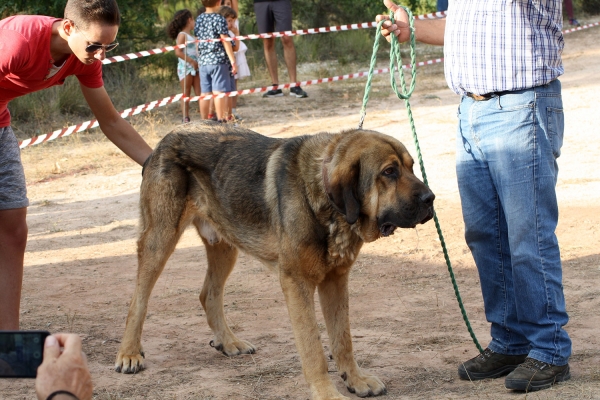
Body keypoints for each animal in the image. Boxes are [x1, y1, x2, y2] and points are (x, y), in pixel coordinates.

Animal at [115, 122, 434, 400]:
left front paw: (355, 380)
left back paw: (228, 341)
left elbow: (343, 340)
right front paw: (327, 393)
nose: (431, 198)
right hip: (160, 241)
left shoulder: (335, 280)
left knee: (209, 294)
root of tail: (167, 138)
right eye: (389, 172)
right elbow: (314, 349)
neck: (323, 198)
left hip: (226, 245)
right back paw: (129, 353)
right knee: (137, 301)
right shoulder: (297, 284)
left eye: (411, 167)